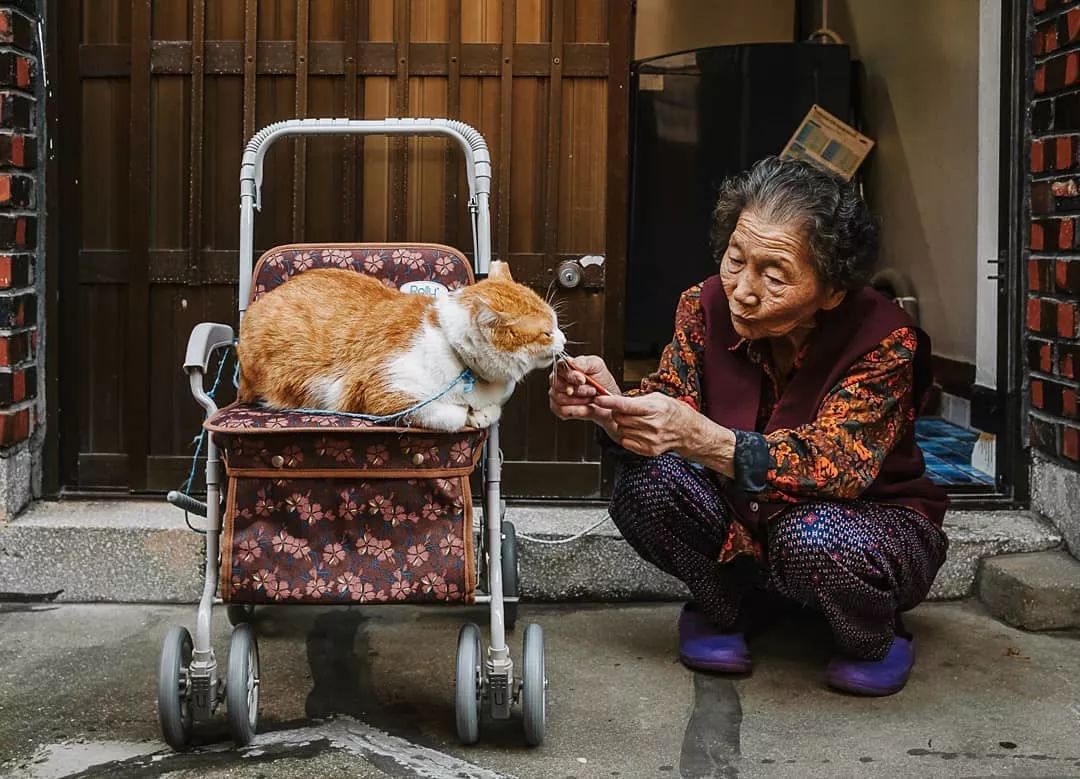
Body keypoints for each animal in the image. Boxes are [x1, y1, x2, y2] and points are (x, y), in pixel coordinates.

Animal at [236, 261, 565, 432]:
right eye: (546, 333)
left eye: (556, 322)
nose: (563, 339)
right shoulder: (389, 392)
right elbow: (451, 414)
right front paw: (469, 413)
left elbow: (492, 410)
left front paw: (483, 412)